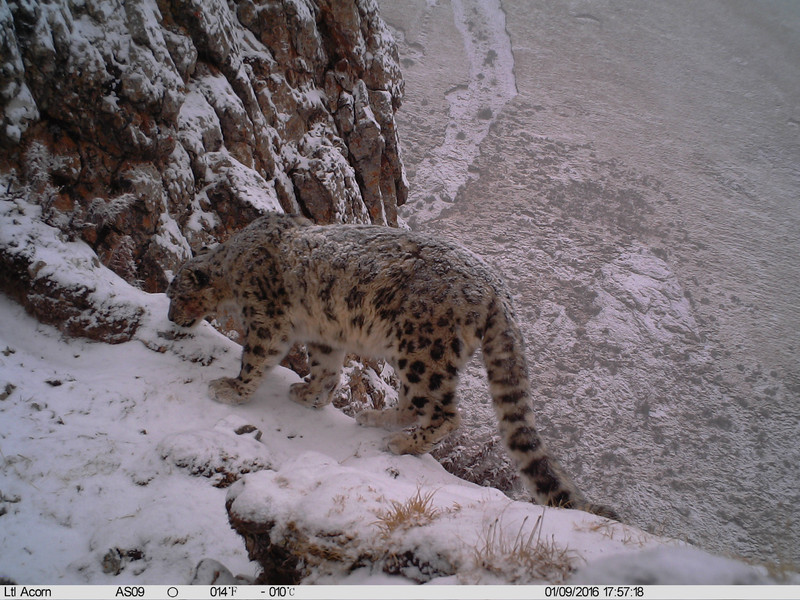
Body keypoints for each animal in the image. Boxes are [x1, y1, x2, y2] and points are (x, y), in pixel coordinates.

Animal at [166, 212, 617, 519]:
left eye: (175, 294)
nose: (171, 317)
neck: (233, 265)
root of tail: (495, 287)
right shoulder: (324, 334)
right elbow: (327, 368)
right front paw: (309, 393)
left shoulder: (267, 318)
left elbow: (256, 356)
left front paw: (232, 389)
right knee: (415, 403)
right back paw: (376, 418)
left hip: (422, 349)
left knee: (444, 411)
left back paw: (400, 442)